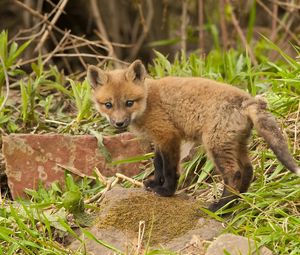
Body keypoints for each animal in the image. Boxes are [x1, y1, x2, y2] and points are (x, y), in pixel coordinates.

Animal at [87, 59, 300, 211]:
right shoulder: (159, 140)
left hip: (215, 146)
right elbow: (158, 164)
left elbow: (169, 169)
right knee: (248, 169)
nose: (119, 123)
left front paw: (166, 191)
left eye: (129, 102)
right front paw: (154, 183)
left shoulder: (169, 136)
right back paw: (238, 202)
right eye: (108, 104)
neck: (147, 102)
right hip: (236, 143)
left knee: (234, 173)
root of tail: (247, 100)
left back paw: (220, 207)